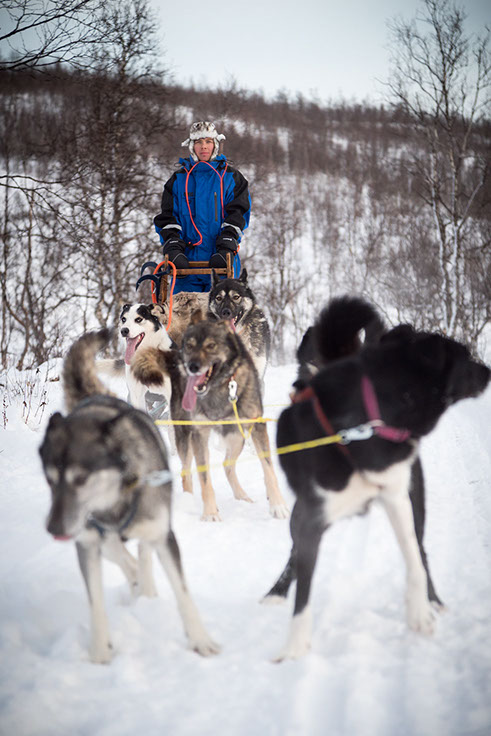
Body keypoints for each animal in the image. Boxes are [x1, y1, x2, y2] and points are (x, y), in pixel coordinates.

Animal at [39, 330, 220, 664]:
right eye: (50, 479)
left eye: (80, 478)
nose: (53, 528)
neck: (115, 501)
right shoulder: (87, 542)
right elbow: (96, 601)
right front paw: (100, 652)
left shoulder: (162, 535)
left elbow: (183, 592)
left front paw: (201, 641)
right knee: (122, 555)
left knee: (142, 555)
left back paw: (145, 587)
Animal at [133, 310, 290, 524]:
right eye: (189, 345)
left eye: (211, 345)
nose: (191, 366)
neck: (219, 389)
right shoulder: (199, 434)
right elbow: (204, 477)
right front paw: (210, 513)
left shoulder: (255, 426)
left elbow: (268, 469)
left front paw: (278, 506)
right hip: (186, 436)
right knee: (187, 473)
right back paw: (189, 501)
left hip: (236, 435)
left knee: (227, 465)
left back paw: (242, 496)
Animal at [268, 294, 490, 660]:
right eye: (466, 357)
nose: (488, 370)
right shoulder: (311, 516)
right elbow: (302, 580)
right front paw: (295, 645)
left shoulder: (397, 497)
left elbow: (415, 561)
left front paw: (420, 611)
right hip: (302, 513)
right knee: (293, 554)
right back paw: (276, 590)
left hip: (415, 503)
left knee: (422, 551)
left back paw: (433, 601)